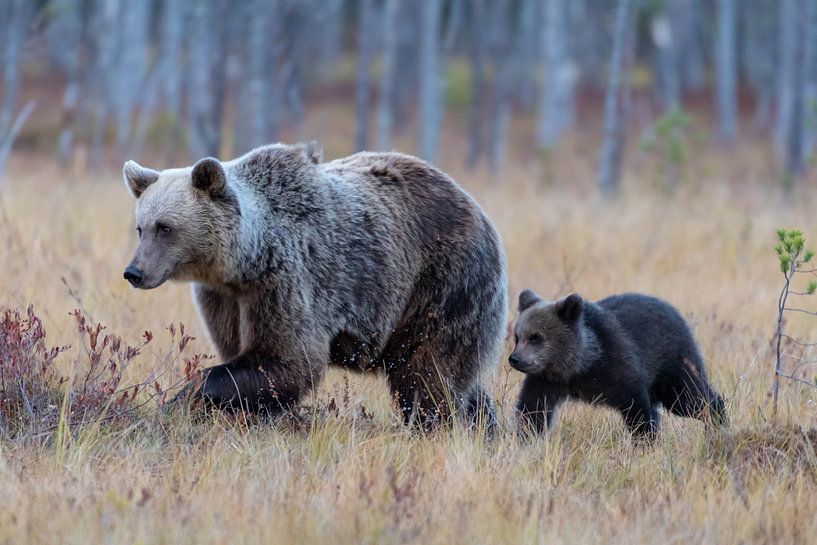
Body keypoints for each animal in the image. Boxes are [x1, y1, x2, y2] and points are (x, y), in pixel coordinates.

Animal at [122, 142, 508, 428]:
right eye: (141, 227)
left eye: (165, 227)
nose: (134, 271)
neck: (242, 260)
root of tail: (476, 208)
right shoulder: (224, 297)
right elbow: (242, 352)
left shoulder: (284, 280)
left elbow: (288, 359)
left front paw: (182, 399)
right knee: (462, 380)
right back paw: (485, 426)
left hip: (442, 283)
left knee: (427, 375)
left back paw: (435, 425)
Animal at [508, 290, 726, 438]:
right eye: (517, 336)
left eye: (536, 337)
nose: (514, 359)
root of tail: (674, 311)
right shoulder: (545, 380)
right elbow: (532, 410)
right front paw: (525, 437)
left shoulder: (616, 366)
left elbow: (637, 408)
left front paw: (645, 440)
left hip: (672, 364)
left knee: (689, 398)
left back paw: (717, 420)